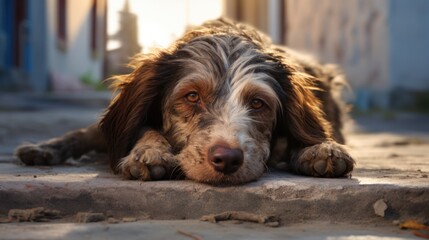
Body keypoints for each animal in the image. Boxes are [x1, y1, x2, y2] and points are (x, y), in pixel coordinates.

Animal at [14, 18, 354, 185]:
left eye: (258, 103)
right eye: (191, 96)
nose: (227, 159)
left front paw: (320, 149)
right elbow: (143, 130)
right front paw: (149, 152)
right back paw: (42, 150)